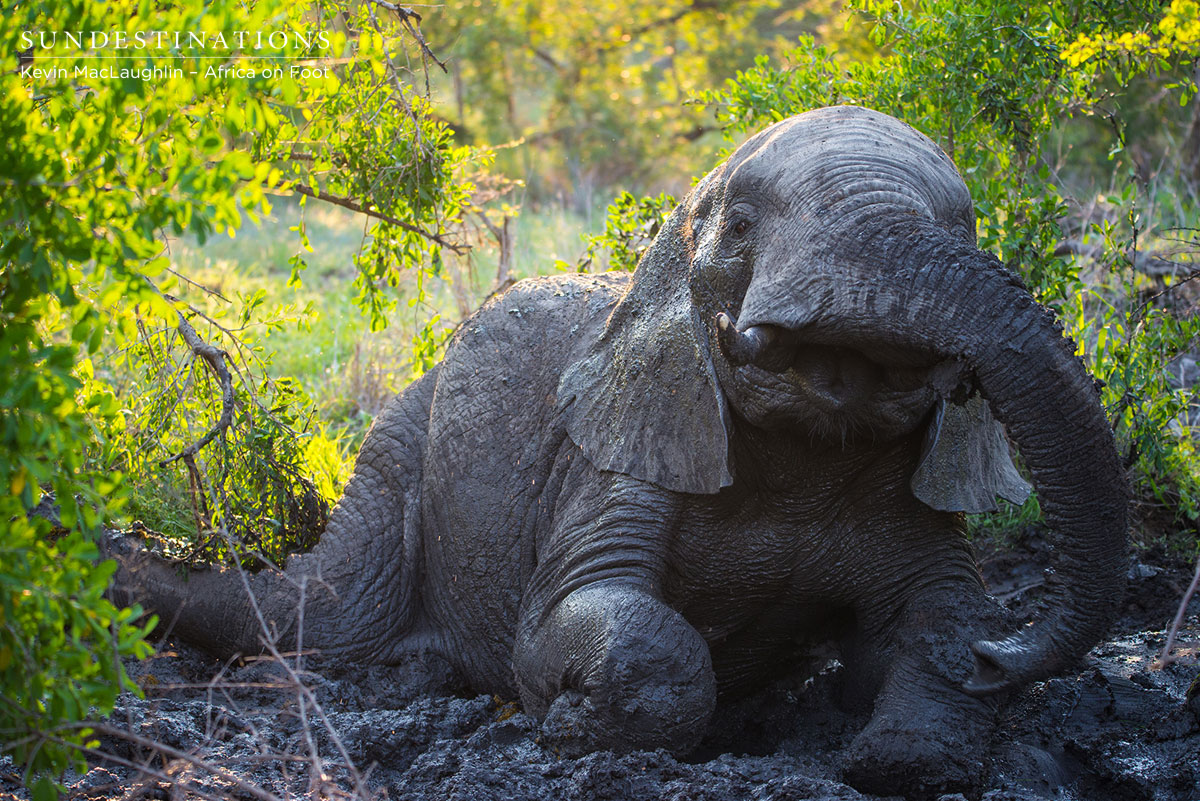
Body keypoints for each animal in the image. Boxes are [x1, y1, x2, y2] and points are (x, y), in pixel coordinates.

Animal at [108, 105, 1128, 799]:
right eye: (740, 227)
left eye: (963, 227)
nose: (1006, 650)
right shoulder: (610, 459)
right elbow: (589, 622)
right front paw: (570, 720)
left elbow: (940, 618)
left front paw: (896, 750)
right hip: (397, 448)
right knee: (323, 614)